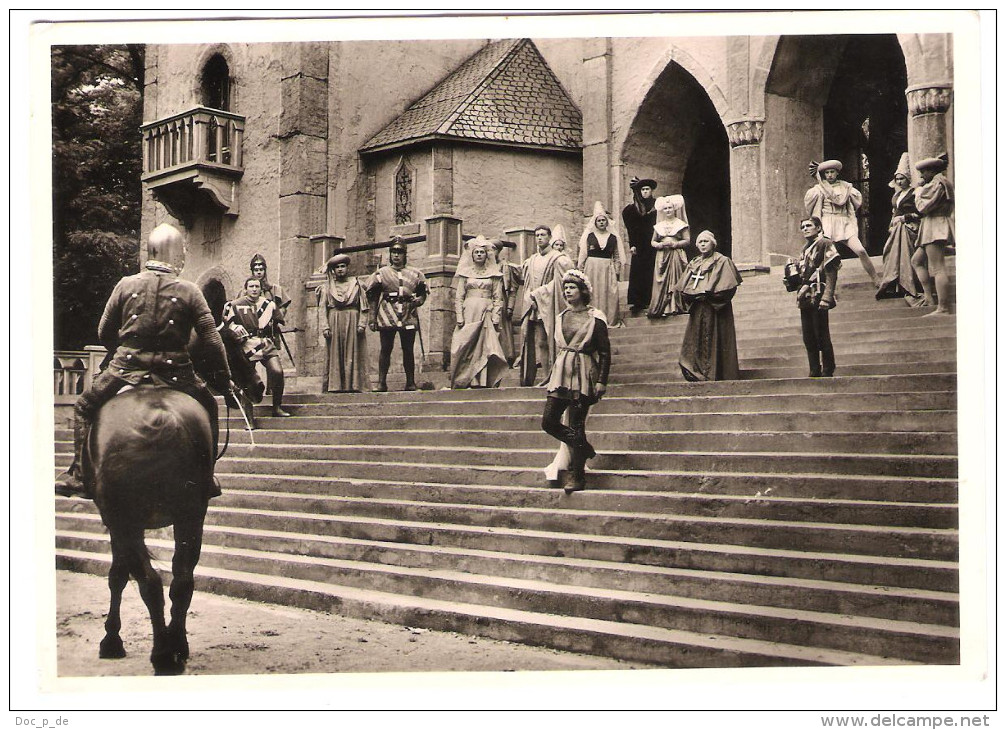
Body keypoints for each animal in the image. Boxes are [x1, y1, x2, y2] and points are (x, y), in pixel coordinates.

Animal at [87, 386, 214, 675]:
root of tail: (162, 417)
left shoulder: (116, 524)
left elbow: (117, 576)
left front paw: (111, 640)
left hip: (125, 522)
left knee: (150, 583)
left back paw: (162, 656)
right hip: (191, 516)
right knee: (182, 580)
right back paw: (178, 648)